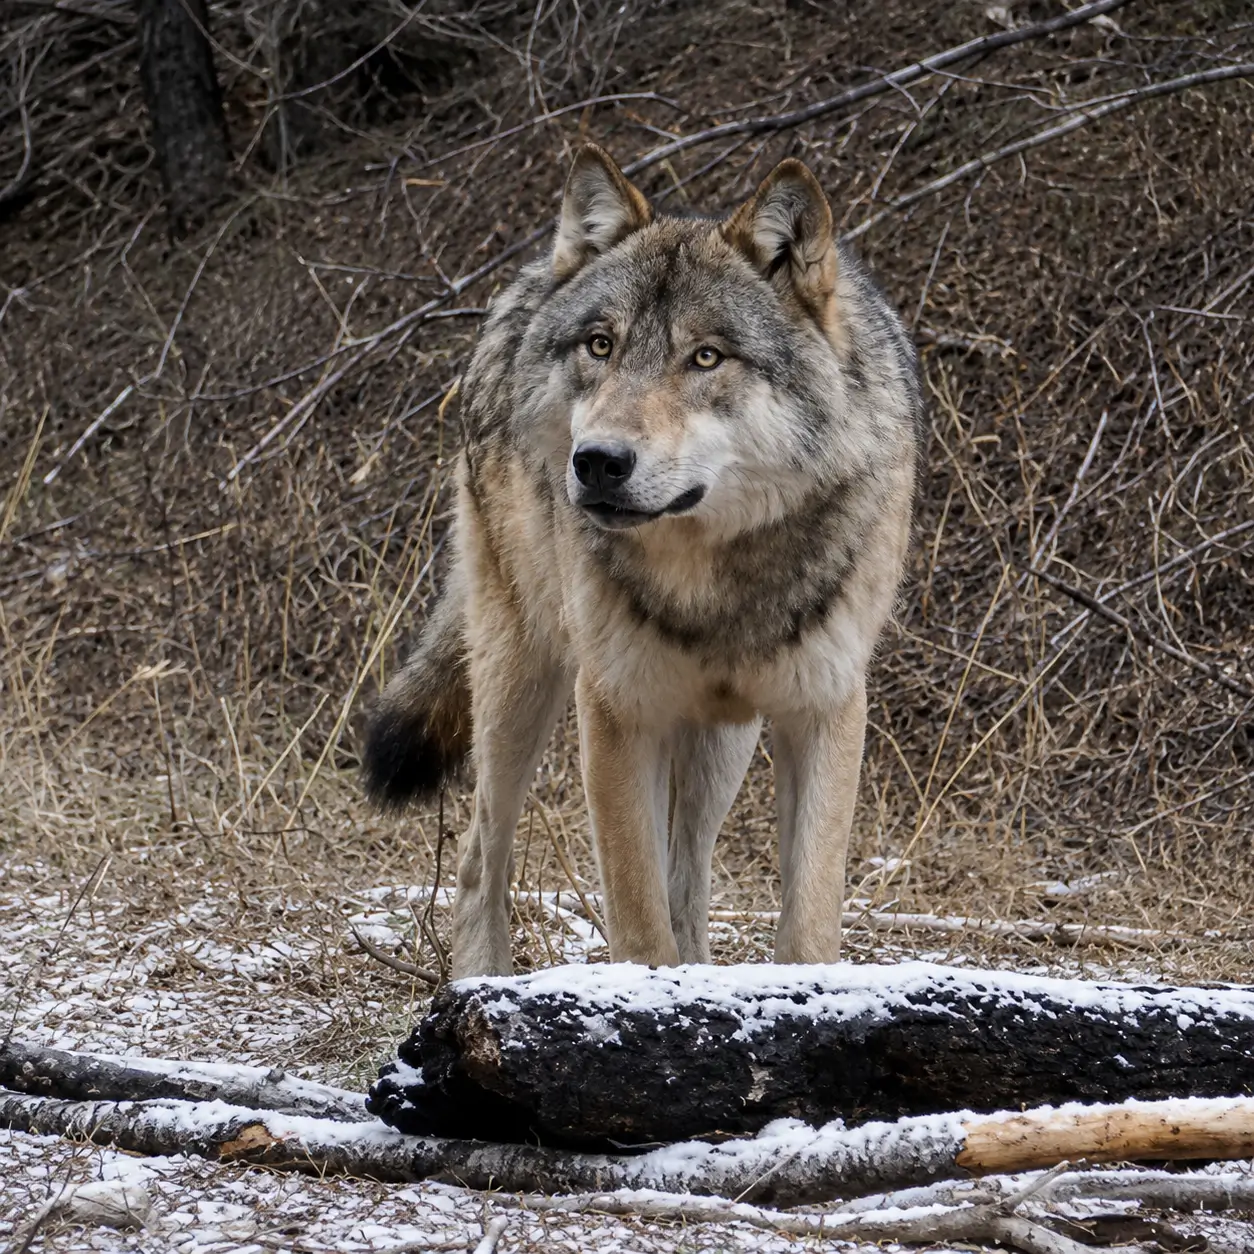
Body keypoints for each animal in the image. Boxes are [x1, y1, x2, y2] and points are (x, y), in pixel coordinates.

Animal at [363, 145, 922, 978]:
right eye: (602, 345)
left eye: (706, 357)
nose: (598, 462)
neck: (711, 579)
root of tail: (531, 276)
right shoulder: (616, 710)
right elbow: (637, 918)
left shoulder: (824, 710)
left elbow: (808, 920)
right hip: (520, 685)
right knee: (478, 855)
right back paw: (479, 983)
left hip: (722, 741)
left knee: (688, 877)